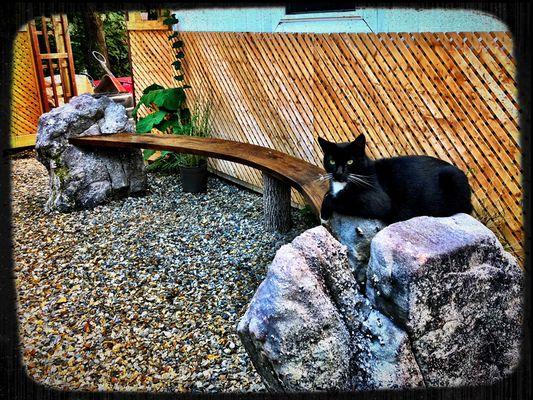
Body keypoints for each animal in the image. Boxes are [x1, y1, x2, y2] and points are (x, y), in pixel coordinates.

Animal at [316, 134, 470, 222]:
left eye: (350, 161)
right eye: (332, 161)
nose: (338, 173)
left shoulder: (378, 201)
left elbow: (339, 199)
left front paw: (324, 215)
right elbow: (328, 193)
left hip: (452, 177)